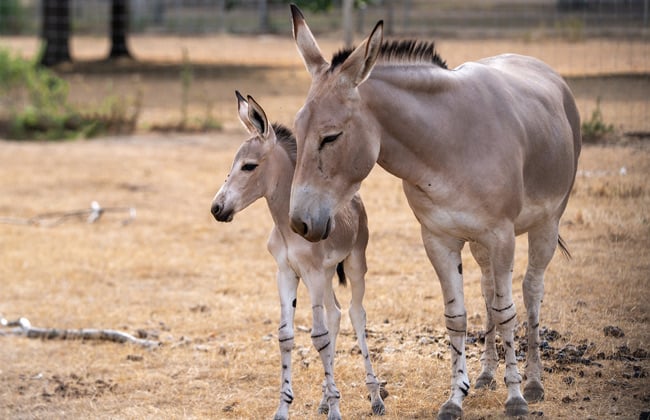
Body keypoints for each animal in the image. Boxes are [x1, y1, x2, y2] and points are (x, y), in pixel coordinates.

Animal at [210, 92, 385, 420]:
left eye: (249, 166)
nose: (217, 208)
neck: (287, 225)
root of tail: (353, 197)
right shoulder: (287, 272)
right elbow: (287, 336)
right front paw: (284, 408)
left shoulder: (313, 273)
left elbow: (319, 337)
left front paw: (336, 411)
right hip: (326, 277)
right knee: (335, 313)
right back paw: (325, 397)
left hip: (354, 265)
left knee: (356, 314)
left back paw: (375, 397)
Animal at [287, 5, 581, 419]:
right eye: (297, 130)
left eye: (330, 137)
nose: (298, 223)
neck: (447, 143)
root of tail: (544, 68)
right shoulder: (439, 239)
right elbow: (457, 317)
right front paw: (456, 396)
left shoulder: (502, 235)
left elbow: (506, 311)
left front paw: (515, 397)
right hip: (479, 244)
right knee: (487, 288)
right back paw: (487, 374)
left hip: (546, 225)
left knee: (530, 291)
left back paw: (534, 382)